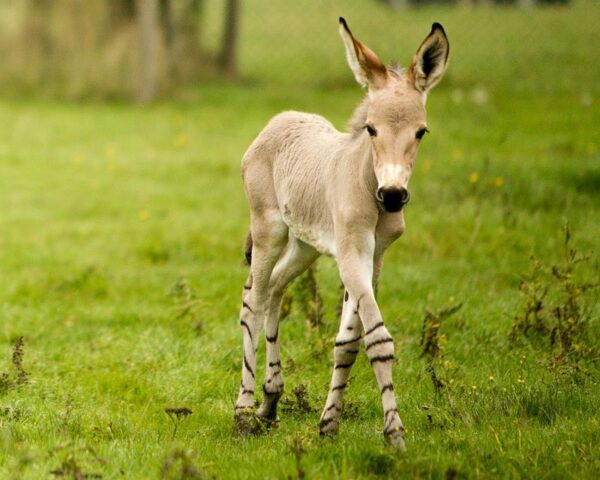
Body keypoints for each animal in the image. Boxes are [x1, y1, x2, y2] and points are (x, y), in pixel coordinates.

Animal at [234, 16, 450, 448]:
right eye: (370, 129)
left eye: (421, 132)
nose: (394, 196)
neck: (368, 186)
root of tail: (280, 119)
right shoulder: (352, 253)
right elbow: (377, 339)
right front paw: (395, 434)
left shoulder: (373, 257)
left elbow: (348, 343)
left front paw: (328, 425)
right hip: (269, 230)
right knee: (254, 299)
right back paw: (244, 413)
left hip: (305, 245)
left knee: (276, 289)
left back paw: (270, 402)